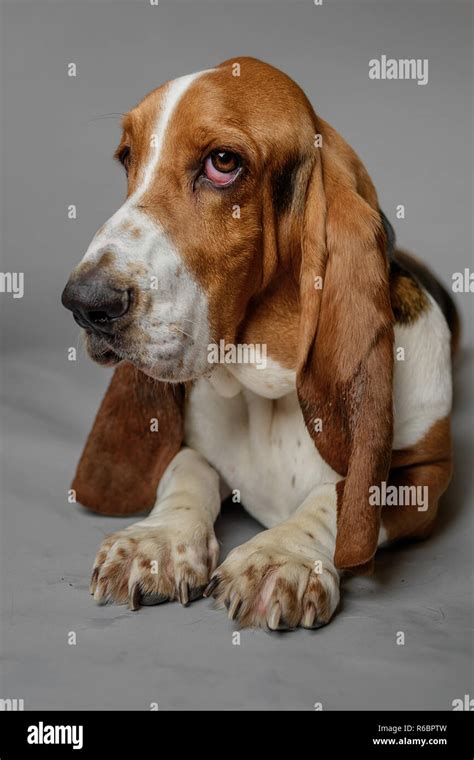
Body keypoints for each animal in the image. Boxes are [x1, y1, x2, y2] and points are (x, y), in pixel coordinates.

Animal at [61, 58, 458, 628]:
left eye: (223, 162)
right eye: (127, 157)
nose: (84, 302)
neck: (267, 388)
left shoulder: (424, 473)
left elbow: (339, 497)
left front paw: (281, 555)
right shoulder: (189, 446)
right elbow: (185, 470)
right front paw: (158, 542)